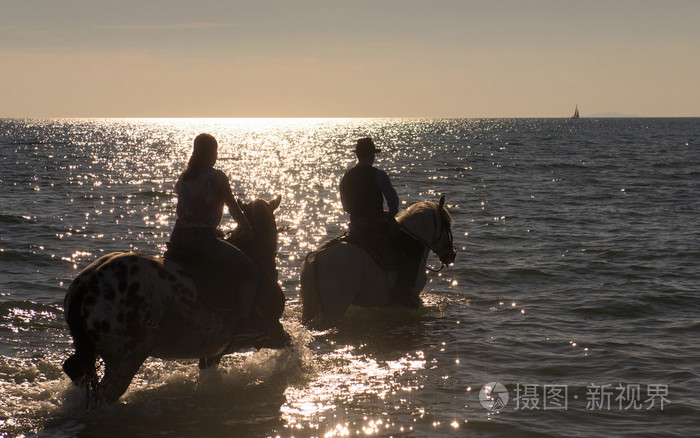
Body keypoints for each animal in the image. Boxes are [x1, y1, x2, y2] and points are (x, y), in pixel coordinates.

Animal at [61, 197, 288, 402]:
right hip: (125, 360)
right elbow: (289, 345)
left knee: (73, 368)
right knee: (106, 393)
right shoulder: (270, 330)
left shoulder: (214, 348)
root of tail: (87, 282)